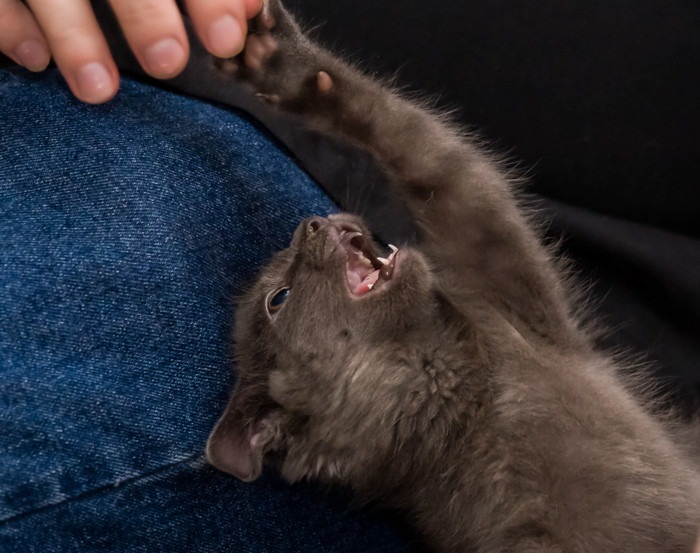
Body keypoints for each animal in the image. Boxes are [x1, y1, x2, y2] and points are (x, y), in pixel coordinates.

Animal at [206, 2, 700, 548]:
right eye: (279, 298)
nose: (309, 224)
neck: (472, 397)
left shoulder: (503, 285)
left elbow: (435, 157)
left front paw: (281, 63)